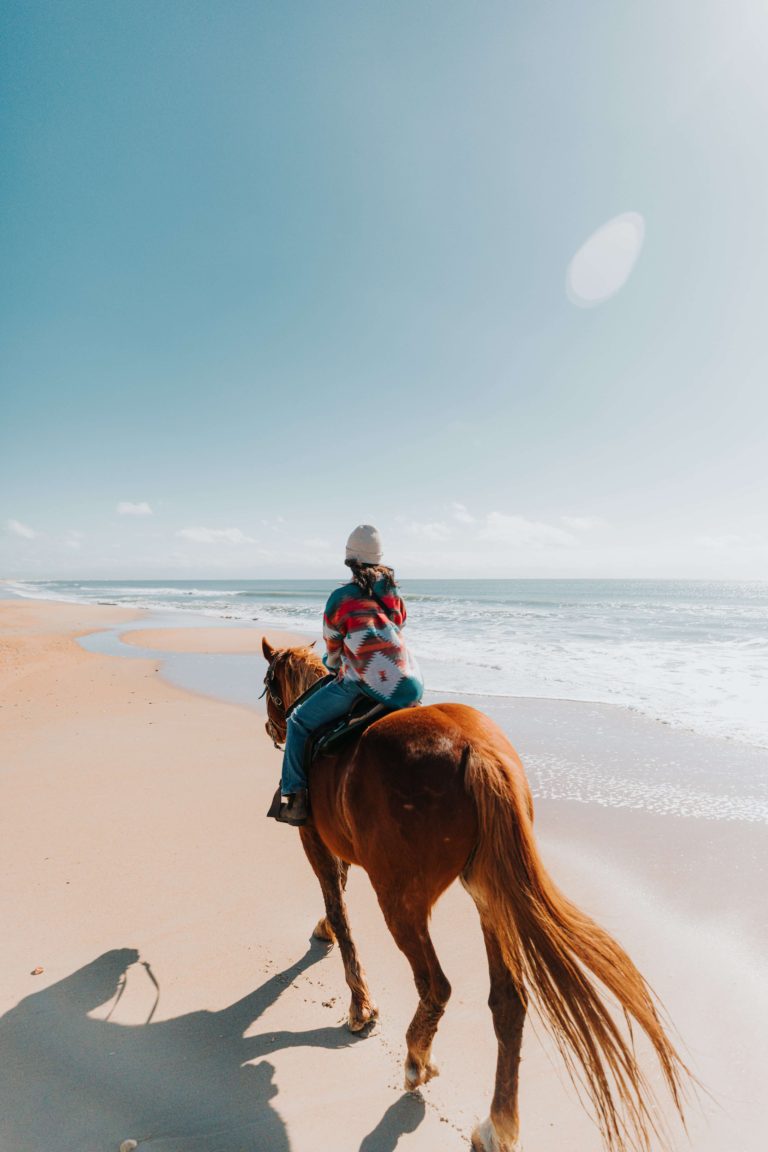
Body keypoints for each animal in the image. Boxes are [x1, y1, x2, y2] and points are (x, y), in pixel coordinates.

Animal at [261, 640, 686, 1152]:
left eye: (267, 686)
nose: (271, 727)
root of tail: (477, 751)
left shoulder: (313, 839)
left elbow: (338, 907)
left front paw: (359, 1005)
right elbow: (337, 897)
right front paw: (327, 938)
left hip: (401, 899)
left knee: (435, 985)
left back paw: (416, 1060)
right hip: (490, 897)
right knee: (509, 1003)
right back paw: (498, 1124)